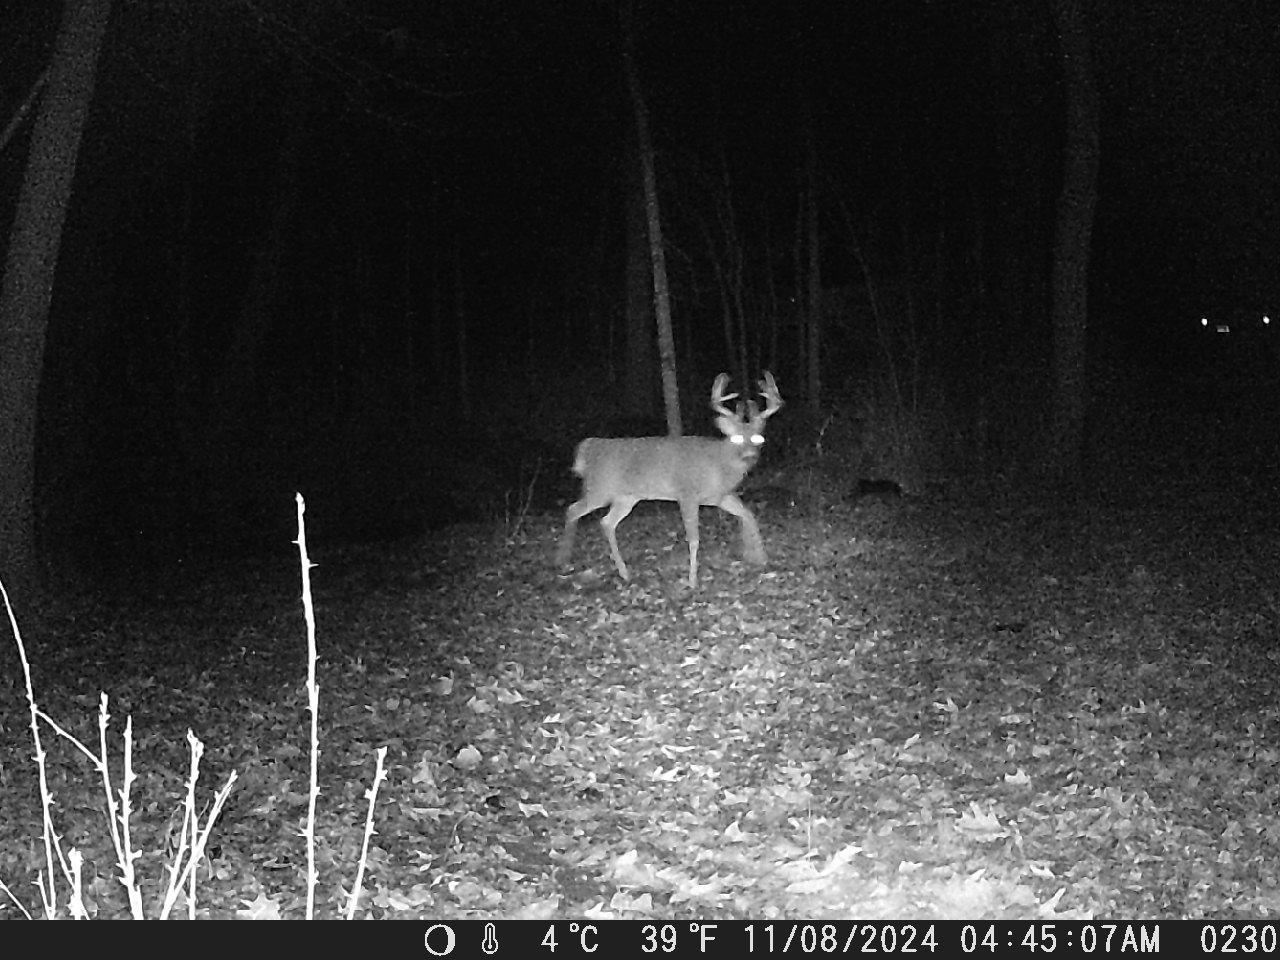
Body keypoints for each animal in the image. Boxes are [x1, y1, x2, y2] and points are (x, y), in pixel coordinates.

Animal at [556, 372, 783, 588]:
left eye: (758, 438)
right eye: (736, 438)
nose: (749, 456)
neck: (718, 464)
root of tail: (588, 448)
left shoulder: (720, 497)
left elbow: (748, 515)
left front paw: (759, 557)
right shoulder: (687, 494)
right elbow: (694, 538)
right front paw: (692, 580)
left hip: (625, 498)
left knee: (606, 522)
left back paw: (624, 572)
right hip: (599, 489)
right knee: (573, 509)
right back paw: (563, 560)